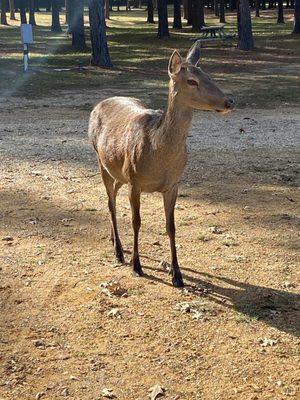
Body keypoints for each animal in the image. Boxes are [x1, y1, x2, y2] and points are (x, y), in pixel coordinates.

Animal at [88, 43, 233, 288]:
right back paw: (119, 252)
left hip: (119, 171)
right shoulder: (135, 181)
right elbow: (136, 221)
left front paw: (177, 275)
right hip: (101, 161)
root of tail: (98, 104)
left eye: (208, 75)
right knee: (110, 202)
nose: (228, 102)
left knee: (113, 197)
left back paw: (112, 240)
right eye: (191, 81)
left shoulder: (173, 184)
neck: (159, 156)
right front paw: (137, 266)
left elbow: (171, 226)